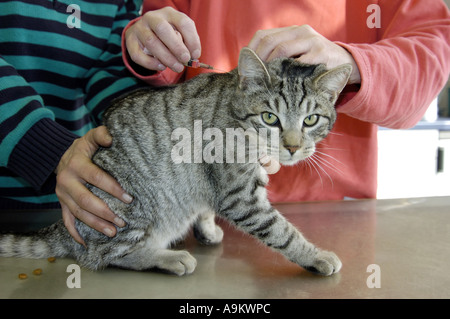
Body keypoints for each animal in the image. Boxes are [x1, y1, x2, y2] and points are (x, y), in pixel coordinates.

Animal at [0, 48, 352, 278]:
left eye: (311, 120)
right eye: (269, 117)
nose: (292, 147)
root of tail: (65, 229)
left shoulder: (220, 186)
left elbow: (208, 206)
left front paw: (207, 227)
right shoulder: (240, 195)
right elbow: (281, 230)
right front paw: (315, 255)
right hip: (129, 210)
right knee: (103, 255)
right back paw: (168, 258)